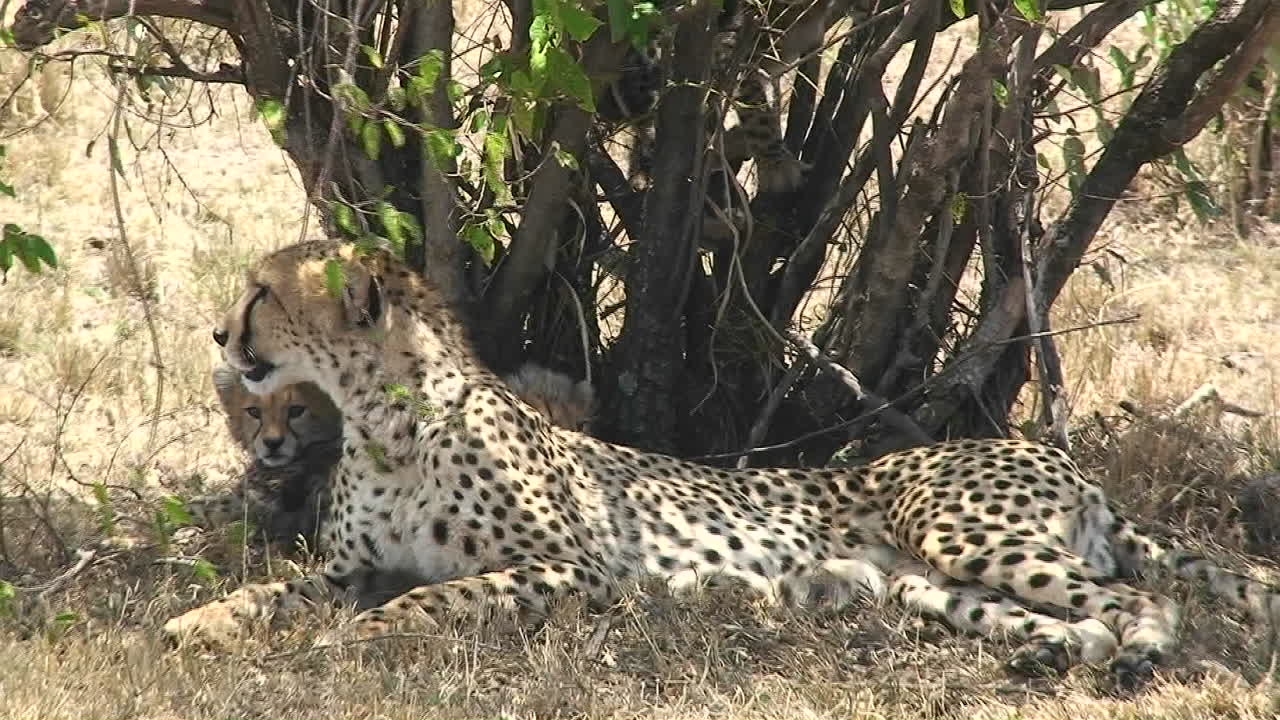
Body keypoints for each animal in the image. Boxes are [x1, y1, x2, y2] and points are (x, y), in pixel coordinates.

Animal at [165, 239, 1280, 690]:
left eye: (261, 294)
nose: (217, 333)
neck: (387, 421)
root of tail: (1049, 455)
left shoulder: (578, 569)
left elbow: (432, 597)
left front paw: (360, 641)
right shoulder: (351, 565)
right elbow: (281, 590)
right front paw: (197, 623)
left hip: (957, 528)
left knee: (1139, 598)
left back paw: (1138, 656)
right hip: (925, 584)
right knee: (1069, 618)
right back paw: (1053, 656)